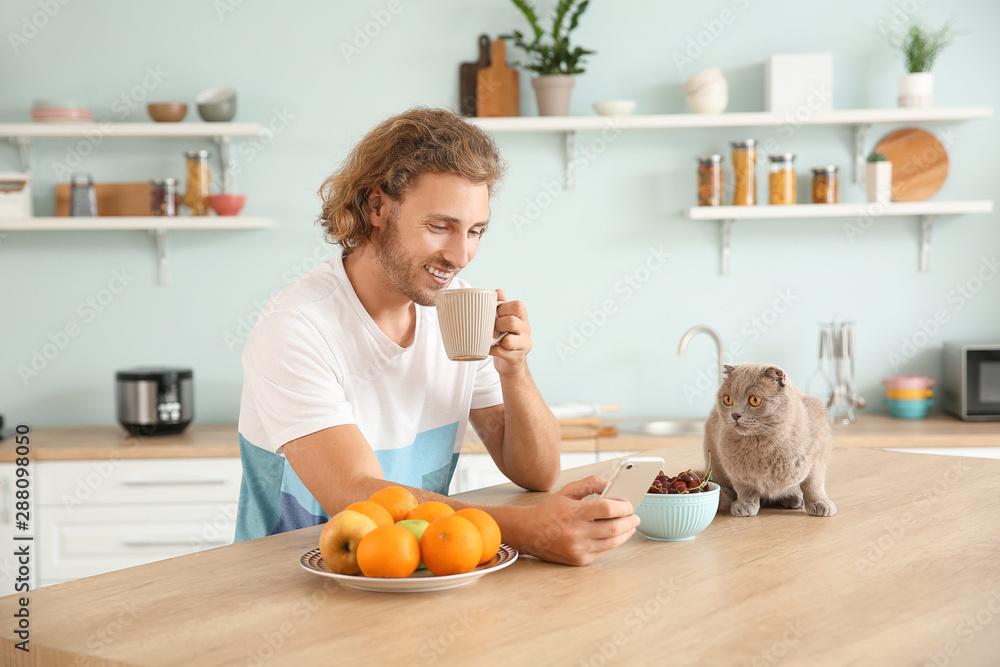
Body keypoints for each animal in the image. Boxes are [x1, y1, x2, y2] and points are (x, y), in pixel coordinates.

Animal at [704, 366, 836, 516]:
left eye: (754, 400)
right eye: (727, 399)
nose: (735, 414)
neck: (764, 445)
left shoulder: (819, 454)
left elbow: (813, 483)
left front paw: (819, 502)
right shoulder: (735, 469)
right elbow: (745, 489)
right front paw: (745, 504)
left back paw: (795, 498)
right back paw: (725, 497)